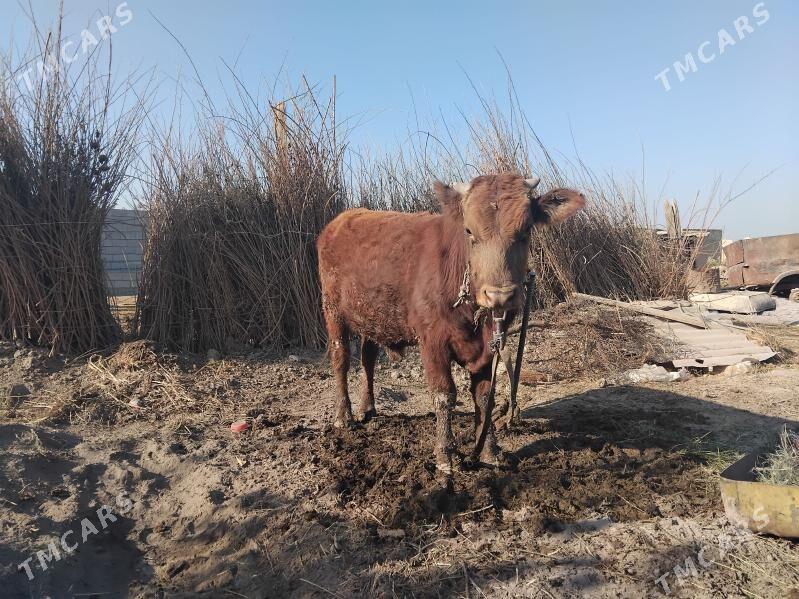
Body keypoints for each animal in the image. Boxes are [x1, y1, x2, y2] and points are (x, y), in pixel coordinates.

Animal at [317, 173, 584, 476]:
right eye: (469, 231)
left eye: (526, 230)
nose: (499, 295)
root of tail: (344, 218)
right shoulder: (432, 342)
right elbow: (444, 395)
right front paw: (445, 454)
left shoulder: (489, 348)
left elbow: (484, 397)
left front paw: (489, 451)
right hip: (333, 310)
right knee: (341, 360)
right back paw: (344, 416)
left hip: (372, 317)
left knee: (367, 359)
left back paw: (368, 407)